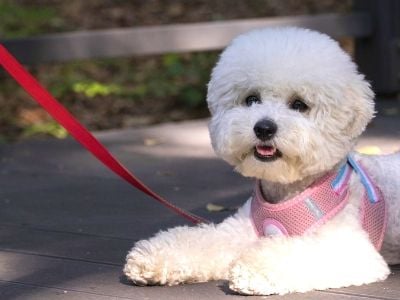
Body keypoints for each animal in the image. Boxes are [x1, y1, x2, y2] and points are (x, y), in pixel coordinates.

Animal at [123, 27, 398, 294]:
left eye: (299, 104)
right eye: (251, 99)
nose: (264, 128)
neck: (286, 192)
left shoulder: (348, 246)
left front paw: (254, 270)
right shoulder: (239, 231)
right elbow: (204, 241)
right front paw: (152, 259)